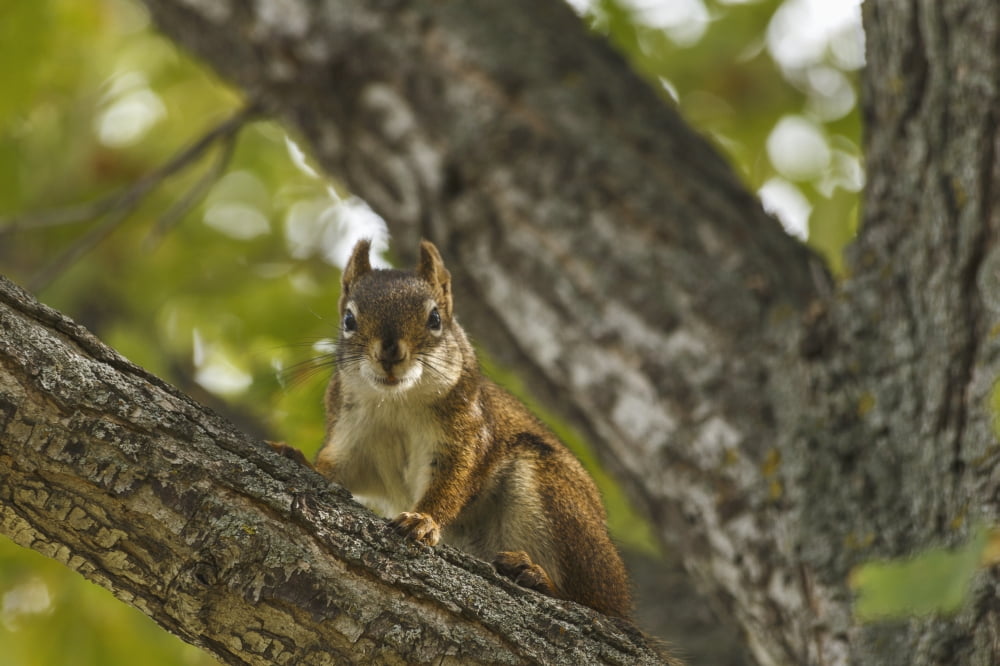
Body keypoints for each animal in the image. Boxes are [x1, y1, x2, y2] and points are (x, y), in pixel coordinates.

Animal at [285, 239, 631, 618]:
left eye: (435, 318)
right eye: (349, 319)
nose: (389, 353)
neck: (395, 402)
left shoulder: (465, 431)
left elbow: (453, 480)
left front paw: (422, 520)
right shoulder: (351, 435)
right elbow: (337, 467)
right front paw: (294, 456)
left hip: (556, 500)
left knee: (596, 605)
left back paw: (538, 578)